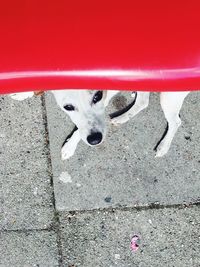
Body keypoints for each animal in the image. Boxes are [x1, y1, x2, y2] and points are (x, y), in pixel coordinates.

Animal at [9, 91, 189, 160]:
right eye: (68, 107)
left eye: (98, 96)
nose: (95, 140)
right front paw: (23, 92)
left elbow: (82, 129)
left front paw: (70, 146)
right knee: (143, 102)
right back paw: (121, 117)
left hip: (170, 97)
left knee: (175, 121)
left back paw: (164, 146)